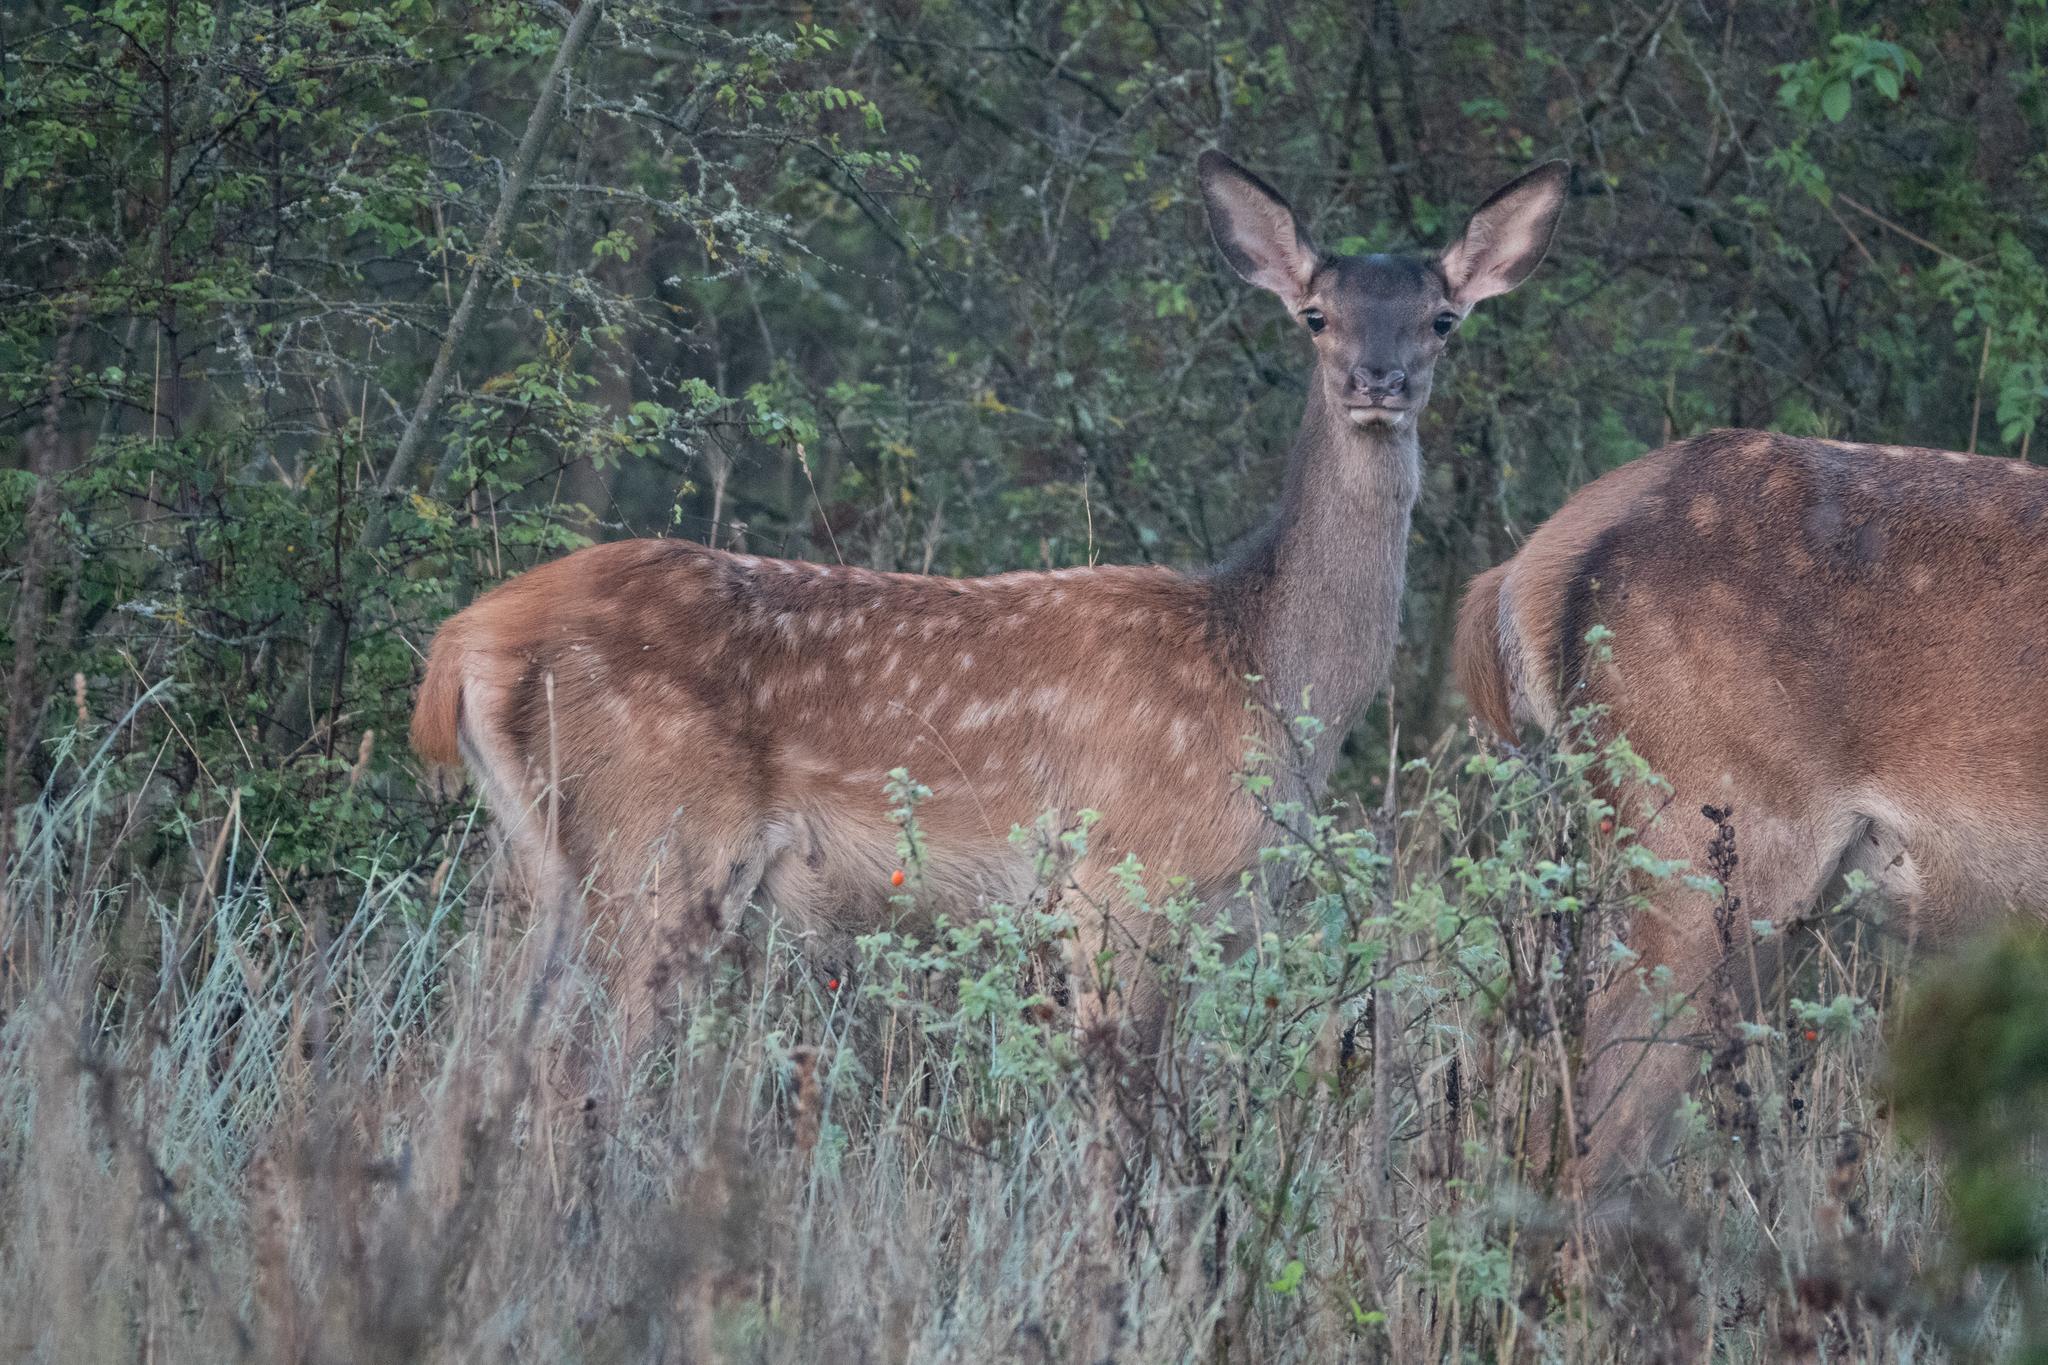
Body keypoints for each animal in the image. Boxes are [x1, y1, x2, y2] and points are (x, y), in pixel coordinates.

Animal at [410, 150, 1570, 1062]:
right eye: (1315, 315)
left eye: (1441, 318)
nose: (1378, 379)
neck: (1269, 673)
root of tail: (462, 644)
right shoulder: (1122, 879)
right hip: (659, 839)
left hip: (549, 861)